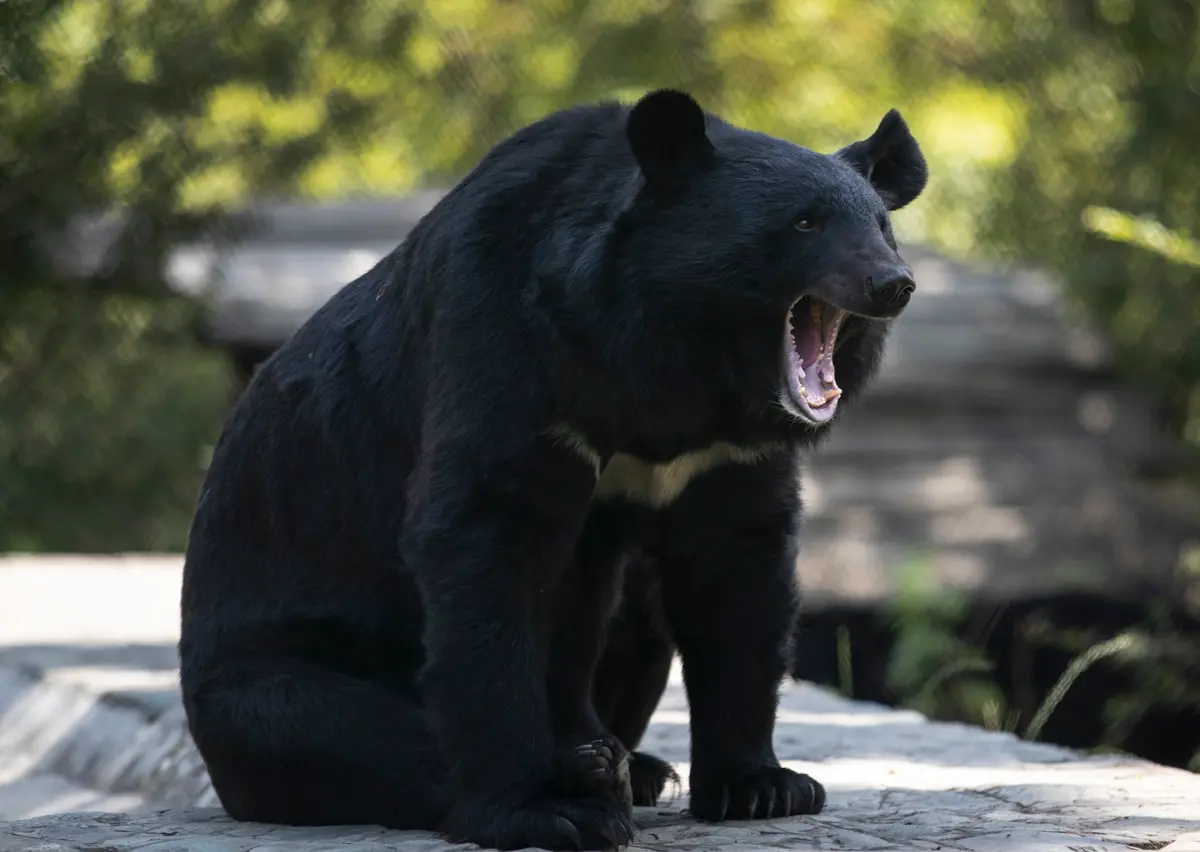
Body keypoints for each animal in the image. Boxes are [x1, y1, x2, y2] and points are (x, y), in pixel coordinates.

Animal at [178, 88, 927, 851]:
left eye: (881, 227)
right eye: (804, 222)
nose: (892, 284)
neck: (681, 362)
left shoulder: (725, 456)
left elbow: (737, 578)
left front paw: (765, 786)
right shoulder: (507, 344)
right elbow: (486, 541)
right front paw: (541, 810)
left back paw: (632, 765)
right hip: (262, 672)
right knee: (346, 733)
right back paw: (588, 775)